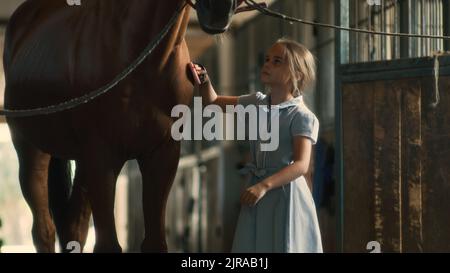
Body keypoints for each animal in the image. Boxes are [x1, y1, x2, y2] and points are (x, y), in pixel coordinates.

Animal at [2, 0, 239, 251]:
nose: (220, 10)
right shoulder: (102, 157)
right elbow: (108, 244)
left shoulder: (162, 154)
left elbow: (155, 242)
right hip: (31, 151)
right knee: (44, 229)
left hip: (83, 161)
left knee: (73, 227)